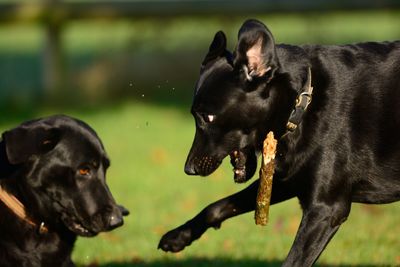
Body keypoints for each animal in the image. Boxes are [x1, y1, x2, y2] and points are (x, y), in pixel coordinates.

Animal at [159, 18, 400, 266]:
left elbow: (293, 260)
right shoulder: (288, 180)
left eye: (208, 117)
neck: (301, 102)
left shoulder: (326, 208)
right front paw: (178, 237)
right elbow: (217, 206)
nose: (189, 169)